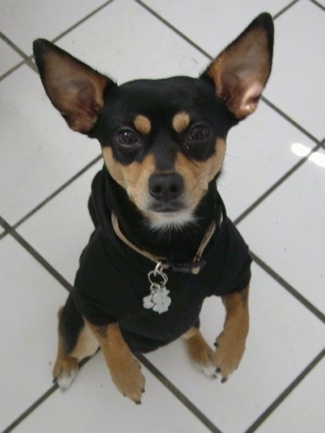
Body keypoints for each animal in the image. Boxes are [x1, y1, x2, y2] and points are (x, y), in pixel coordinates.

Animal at [33, 14, 272, 404]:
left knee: (189, 328)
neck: (168, 249)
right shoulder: (93, 304)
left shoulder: (239, 271)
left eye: (199, 132)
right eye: (126, 137)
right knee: (68, 327)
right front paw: (126, 376)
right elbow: (110, 340)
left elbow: (242, 313)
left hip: (188, 318)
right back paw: (65, 367)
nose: (165, 185)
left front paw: (230, 353)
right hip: (79, 323)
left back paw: (203, 351)